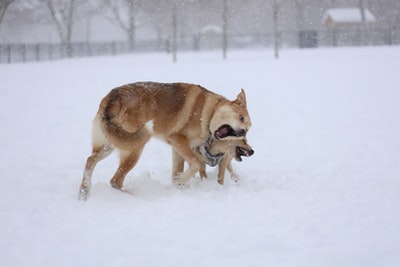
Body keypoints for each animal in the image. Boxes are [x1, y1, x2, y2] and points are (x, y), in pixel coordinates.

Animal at [79, 81, 252, 201]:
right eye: (241, 118)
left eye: (248, 129)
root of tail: (113, 98)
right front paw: (182, 181)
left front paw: (179, 186)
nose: (243, 132)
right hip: (135, 147)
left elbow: (181, 169)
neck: (209, 112)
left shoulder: (177, 149)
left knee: (90, 161)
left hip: (111, 143)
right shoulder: (177, 139)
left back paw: (84, 192)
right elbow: (196, 163)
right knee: (115, 180)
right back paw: (134, 195)